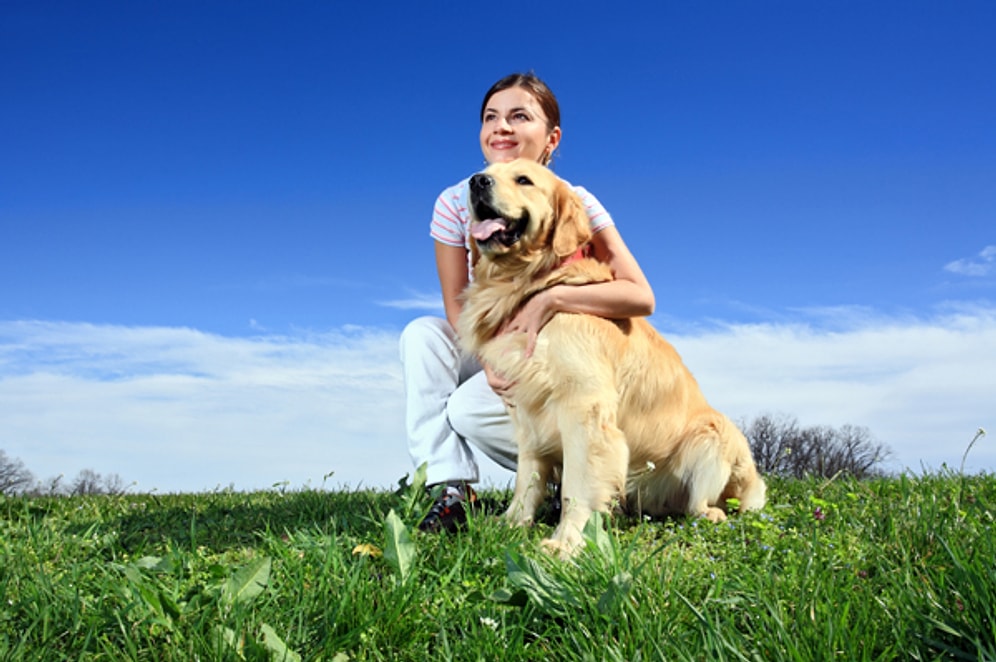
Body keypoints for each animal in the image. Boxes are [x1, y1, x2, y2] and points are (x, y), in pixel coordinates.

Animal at [460, 161, 772, 560]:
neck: (528, 281)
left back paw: (711, 513)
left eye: (524, 179)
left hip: (713, 434)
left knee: (704, 503)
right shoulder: (527, 412)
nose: (476, 181)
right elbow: (527, 478)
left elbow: (577, 485)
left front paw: (567, 542)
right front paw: (512, 524)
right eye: (487, 170)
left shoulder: (584, 407)